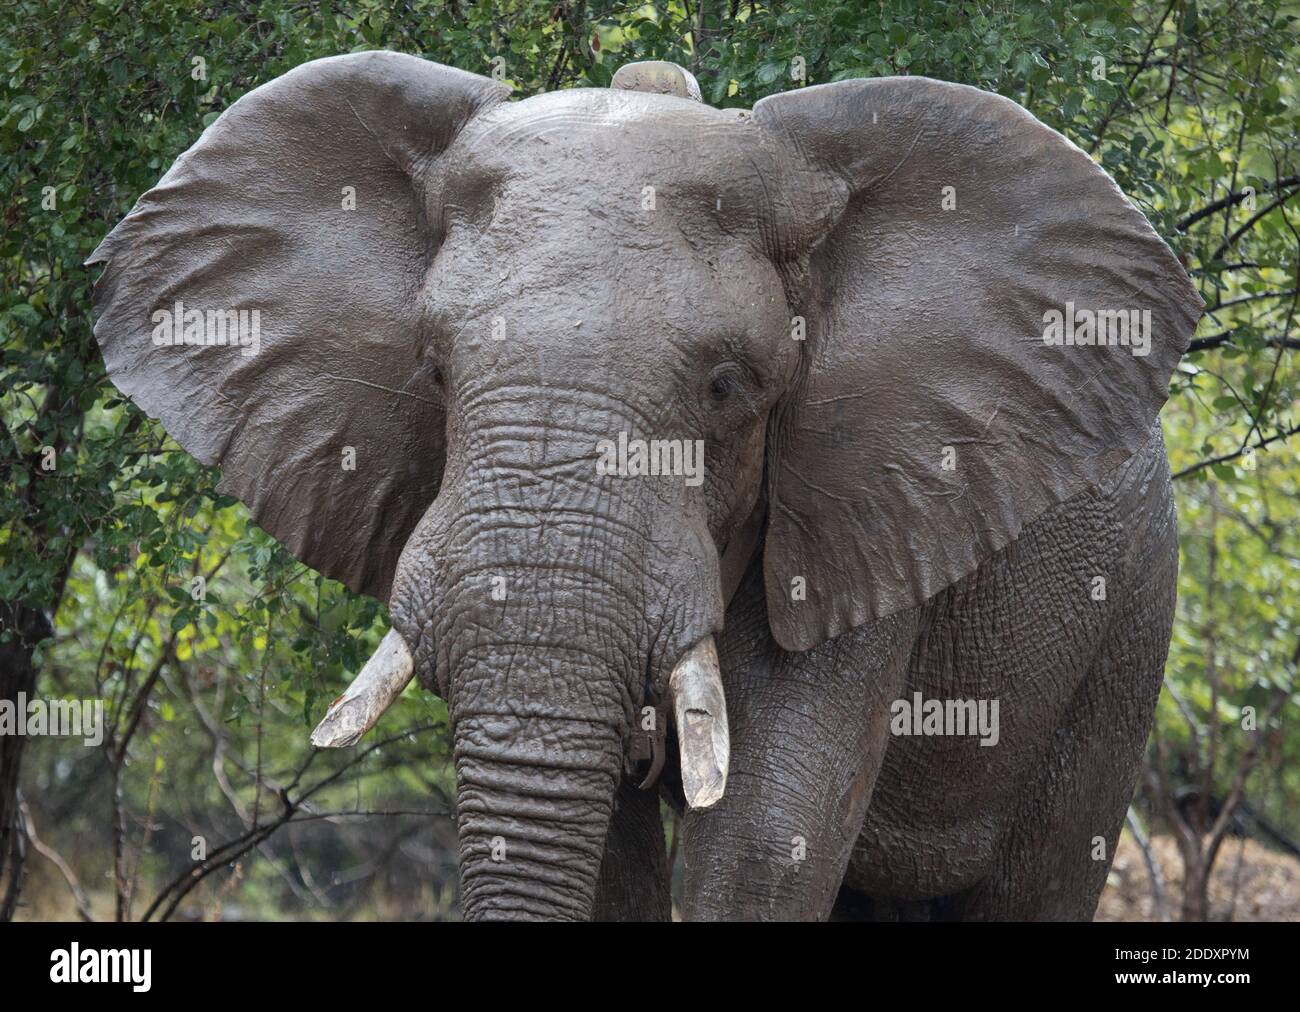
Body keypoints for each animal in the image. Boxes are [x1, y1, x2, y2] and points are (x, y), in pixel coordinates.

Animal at [87, 53, 1204, 921]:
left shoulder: (864, 497)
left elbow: (764, 838)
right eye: (434, 369)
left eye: (727, 387)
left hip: (1125, 622)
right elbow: (614, 856)